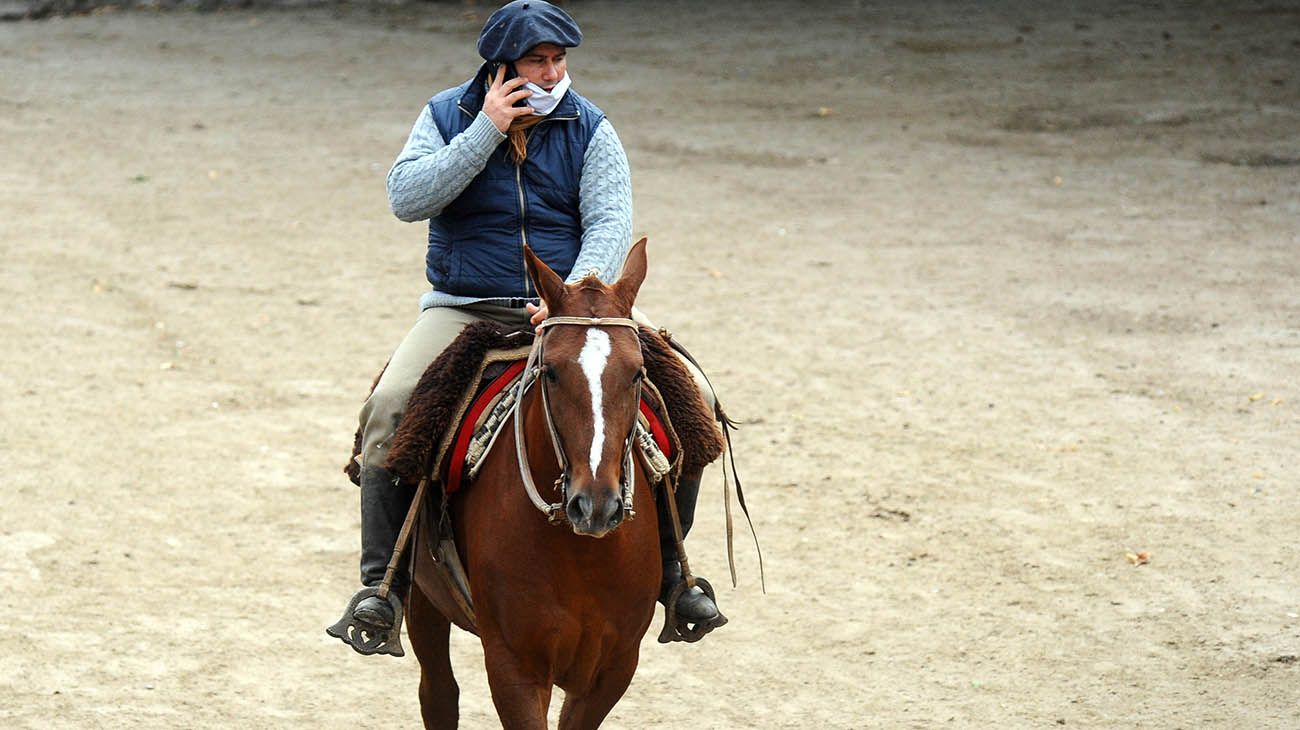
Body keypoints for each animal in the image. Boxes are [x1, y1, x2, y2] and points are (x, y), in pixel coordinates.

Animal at [405, 237, 665, 722]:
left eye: (637, 372)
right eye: (552, 371)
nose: (595, 505)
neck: (583, 556)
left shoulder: (613, 669)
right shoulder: (515, 668)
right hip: (422, 598)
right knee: (438, 693)